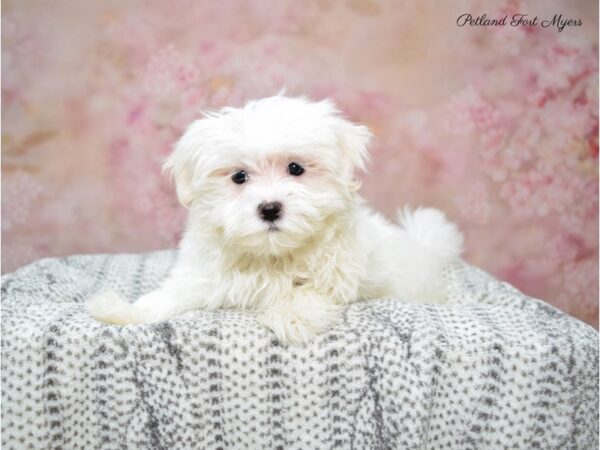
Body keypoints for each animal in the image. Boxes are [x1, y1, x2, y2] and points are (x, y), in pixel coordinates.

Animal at [89, 95, 464, 344]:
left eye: (295, 168)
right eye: (239, 177)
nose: (269, 208)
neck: (271, 255)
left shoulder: (342, 274)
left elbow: (310, 291)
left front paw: (291, 315)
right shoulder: (204, 277)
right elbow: (169, 297)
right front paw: (123, 311)